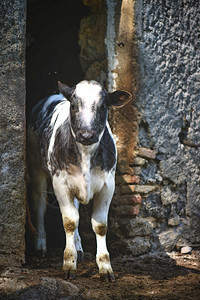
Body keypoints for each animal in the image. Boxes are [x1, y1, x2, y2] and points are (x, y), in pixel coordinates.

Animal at [27, 79, 131, 282]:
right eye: (74, 106)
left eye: (103, 106)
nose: (86, 135)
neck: (86, 153)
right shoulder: (60, 183)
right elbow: (69, 222)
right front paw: (69, 264)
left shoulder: (108, 185)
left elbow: (100, 226)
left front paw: (105, 267)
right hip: (37, 169)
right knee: (40, 206)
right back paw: (41, 245)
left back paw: (79, 247)